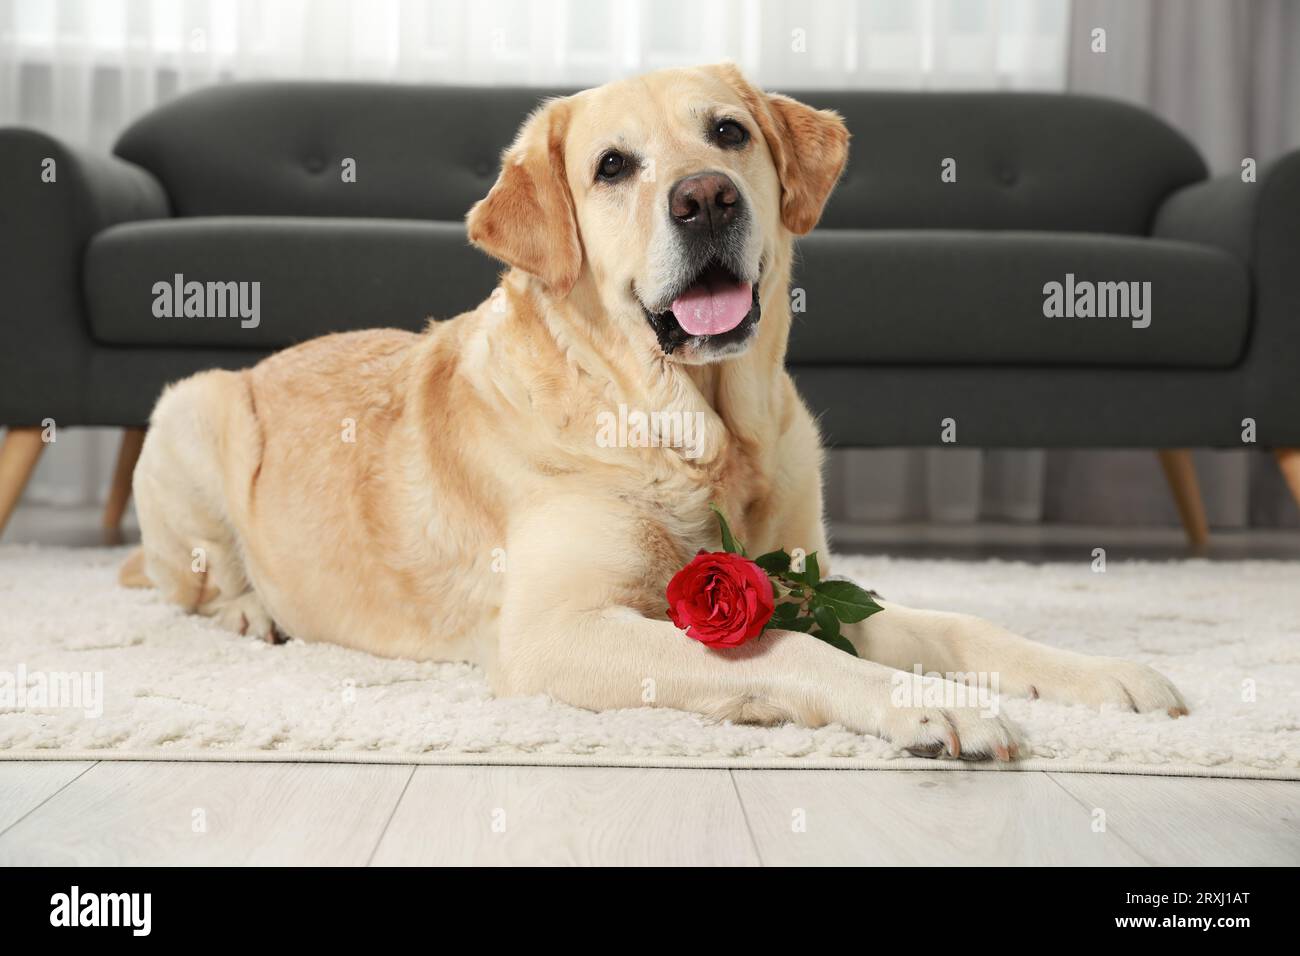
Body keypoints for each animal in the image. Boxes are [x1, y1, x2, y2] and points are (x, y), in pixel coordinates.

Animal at [124, 63, 1190, 764]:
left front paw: (1104, 674)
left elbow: (963, 626)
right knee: (191, 581)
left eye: (729, 134)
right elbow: (790, 649)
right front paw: (926, 705)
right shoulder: (555, 633)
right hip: (193, 407)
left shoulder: (811, 579)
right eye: (611, 166)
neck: (694, 431)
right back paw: (250, 611)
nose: (706, 198)